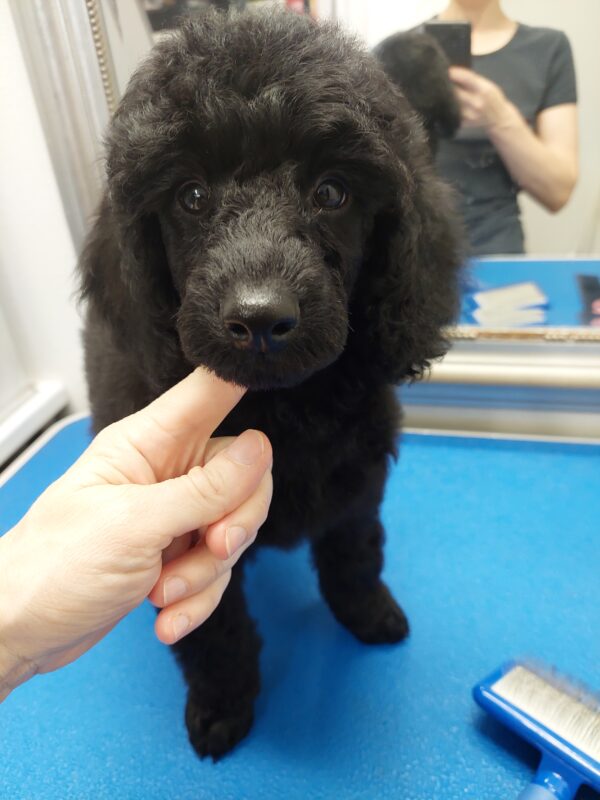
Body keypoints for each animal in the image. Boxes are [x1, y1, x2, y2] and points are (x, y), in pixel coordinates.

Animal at [79, 9, 463, 760]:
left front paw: (368, 614)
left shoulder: (357, 479)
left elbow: (354, 552)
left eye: (333, 192)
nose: (259, 319)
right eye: (192, 196)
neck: (287, 408)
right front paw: (223, 704)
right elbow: (211, 627)